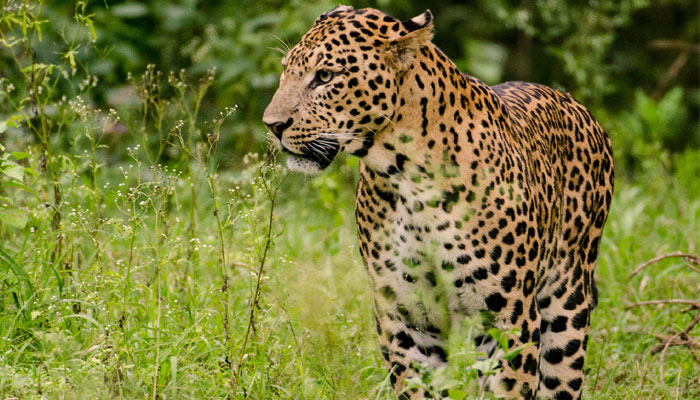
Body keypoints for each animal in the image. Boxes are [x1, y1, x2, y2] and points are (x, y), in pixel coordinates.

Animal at [262, 4, 612, 398]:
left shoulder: (509, 316)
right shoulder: (404, 315)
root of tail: (576, 104)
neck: (406, 177)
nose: (272, 124)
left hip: (566, 303)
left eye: (324, 76)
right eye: (285, 71)